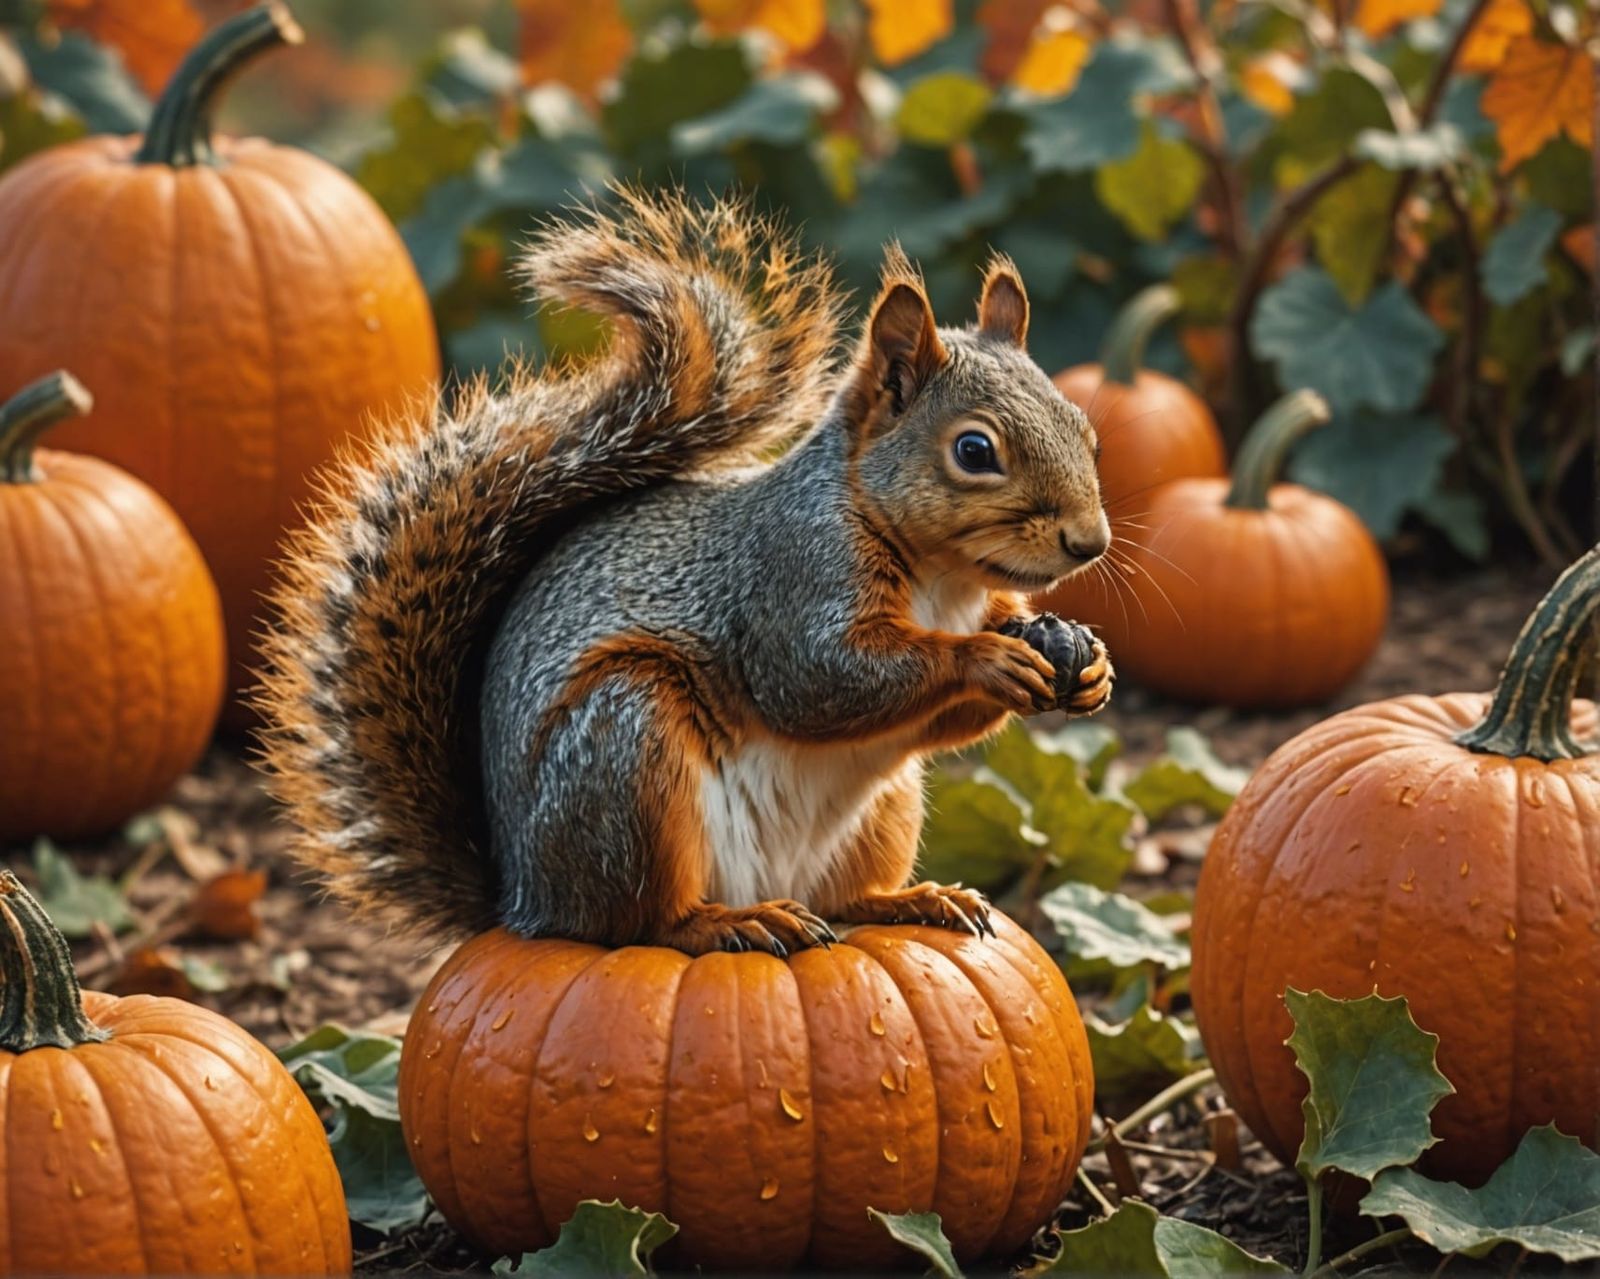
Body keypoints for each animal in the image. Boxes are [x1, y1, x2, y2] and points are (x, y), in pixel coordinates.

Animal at [256, 188, 1113, 956]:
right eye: (974, 450)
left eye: (1086, 428)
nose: (1091, 541)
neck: (945, 581)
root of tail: (522, 896)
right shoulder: (791, 578)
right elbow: (822, 681)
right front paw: (987, 657)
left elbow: (931, 715)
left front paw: (1086, 661)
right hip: (628, 755)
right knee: (637, 923)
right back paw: (730, 923)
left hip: (882, 810)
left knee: (845, 898)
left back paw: (910, 899)